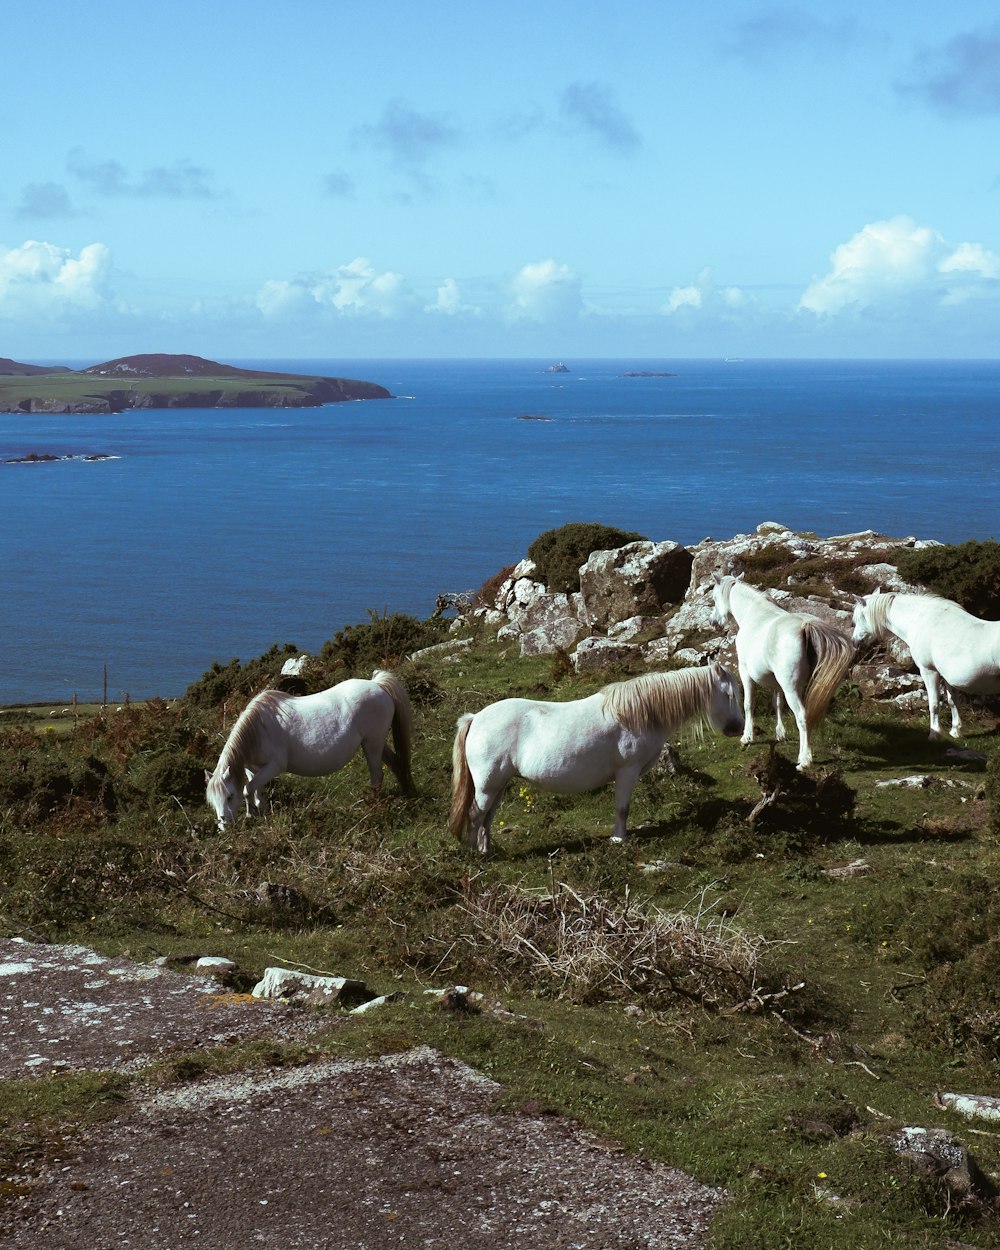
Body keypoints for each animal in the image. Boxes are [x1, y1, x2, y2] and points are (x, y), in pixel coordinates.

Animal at [205, 665, 415, 830]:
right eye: (212, 801)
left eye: (229, 796)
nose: (223, 827)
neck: (258, 730)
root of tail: (378, 685)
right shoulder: (253, 768)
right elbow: (254, 789)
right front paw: (260, 812)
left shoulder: (274, 766)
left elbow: (247, 790)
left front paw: (251, 815)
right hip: (376, 742)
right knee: (395, 764)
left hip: (372, 744)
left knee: (377, 774)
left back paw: (372, 804)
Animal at [450, 660, 745, 855]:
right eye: (729, 694)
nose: (739, 728)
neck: (637, 713)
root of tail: (475, 718)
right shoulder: (627, 771)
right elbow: (622, 808)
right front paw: (619, 840)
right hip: (488, 785)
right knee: (476, 815)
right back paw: (476, 854)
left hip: (498, 784)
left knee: (487, 818)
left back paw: (486, 850)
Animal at [705, 575, 855, 770]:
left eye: (714, 598)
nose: (713, 622)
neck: (754, 613)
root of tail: (805, 626)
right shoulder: (777, 683)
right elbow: (777, 704)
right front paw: (780, 734)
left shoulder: (745, 672)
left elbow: (748, 704)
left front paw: (747, 737)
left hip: (791, 689)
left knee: (802, 716)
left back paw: (804, 760)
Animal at [850, 587, 1000, 735]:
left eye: (860, 618)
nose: (855, 643)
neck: (923, 621)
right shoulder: (946, 676)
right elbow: (953, 702)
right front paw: (955, 731)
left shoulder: (929, 671)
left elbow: (934, 704)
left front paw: (934, 734)